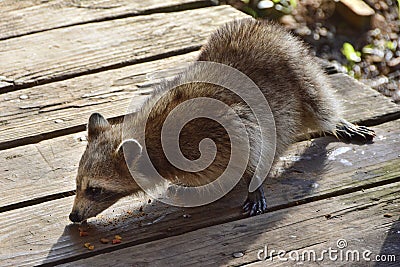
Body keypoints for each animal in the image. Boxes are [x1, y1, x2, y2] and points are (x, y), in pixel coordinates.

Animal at [68, 18, 376, 223]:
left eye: (94, 189)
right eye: (78, 184)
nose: (73, 216)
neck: (153, 134)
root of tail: (269, 27)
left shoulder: (219, 125)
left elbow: (252, 140)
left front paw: (253, 182)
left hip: (301, 73)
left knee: (320, 104)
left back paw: (336, 122)